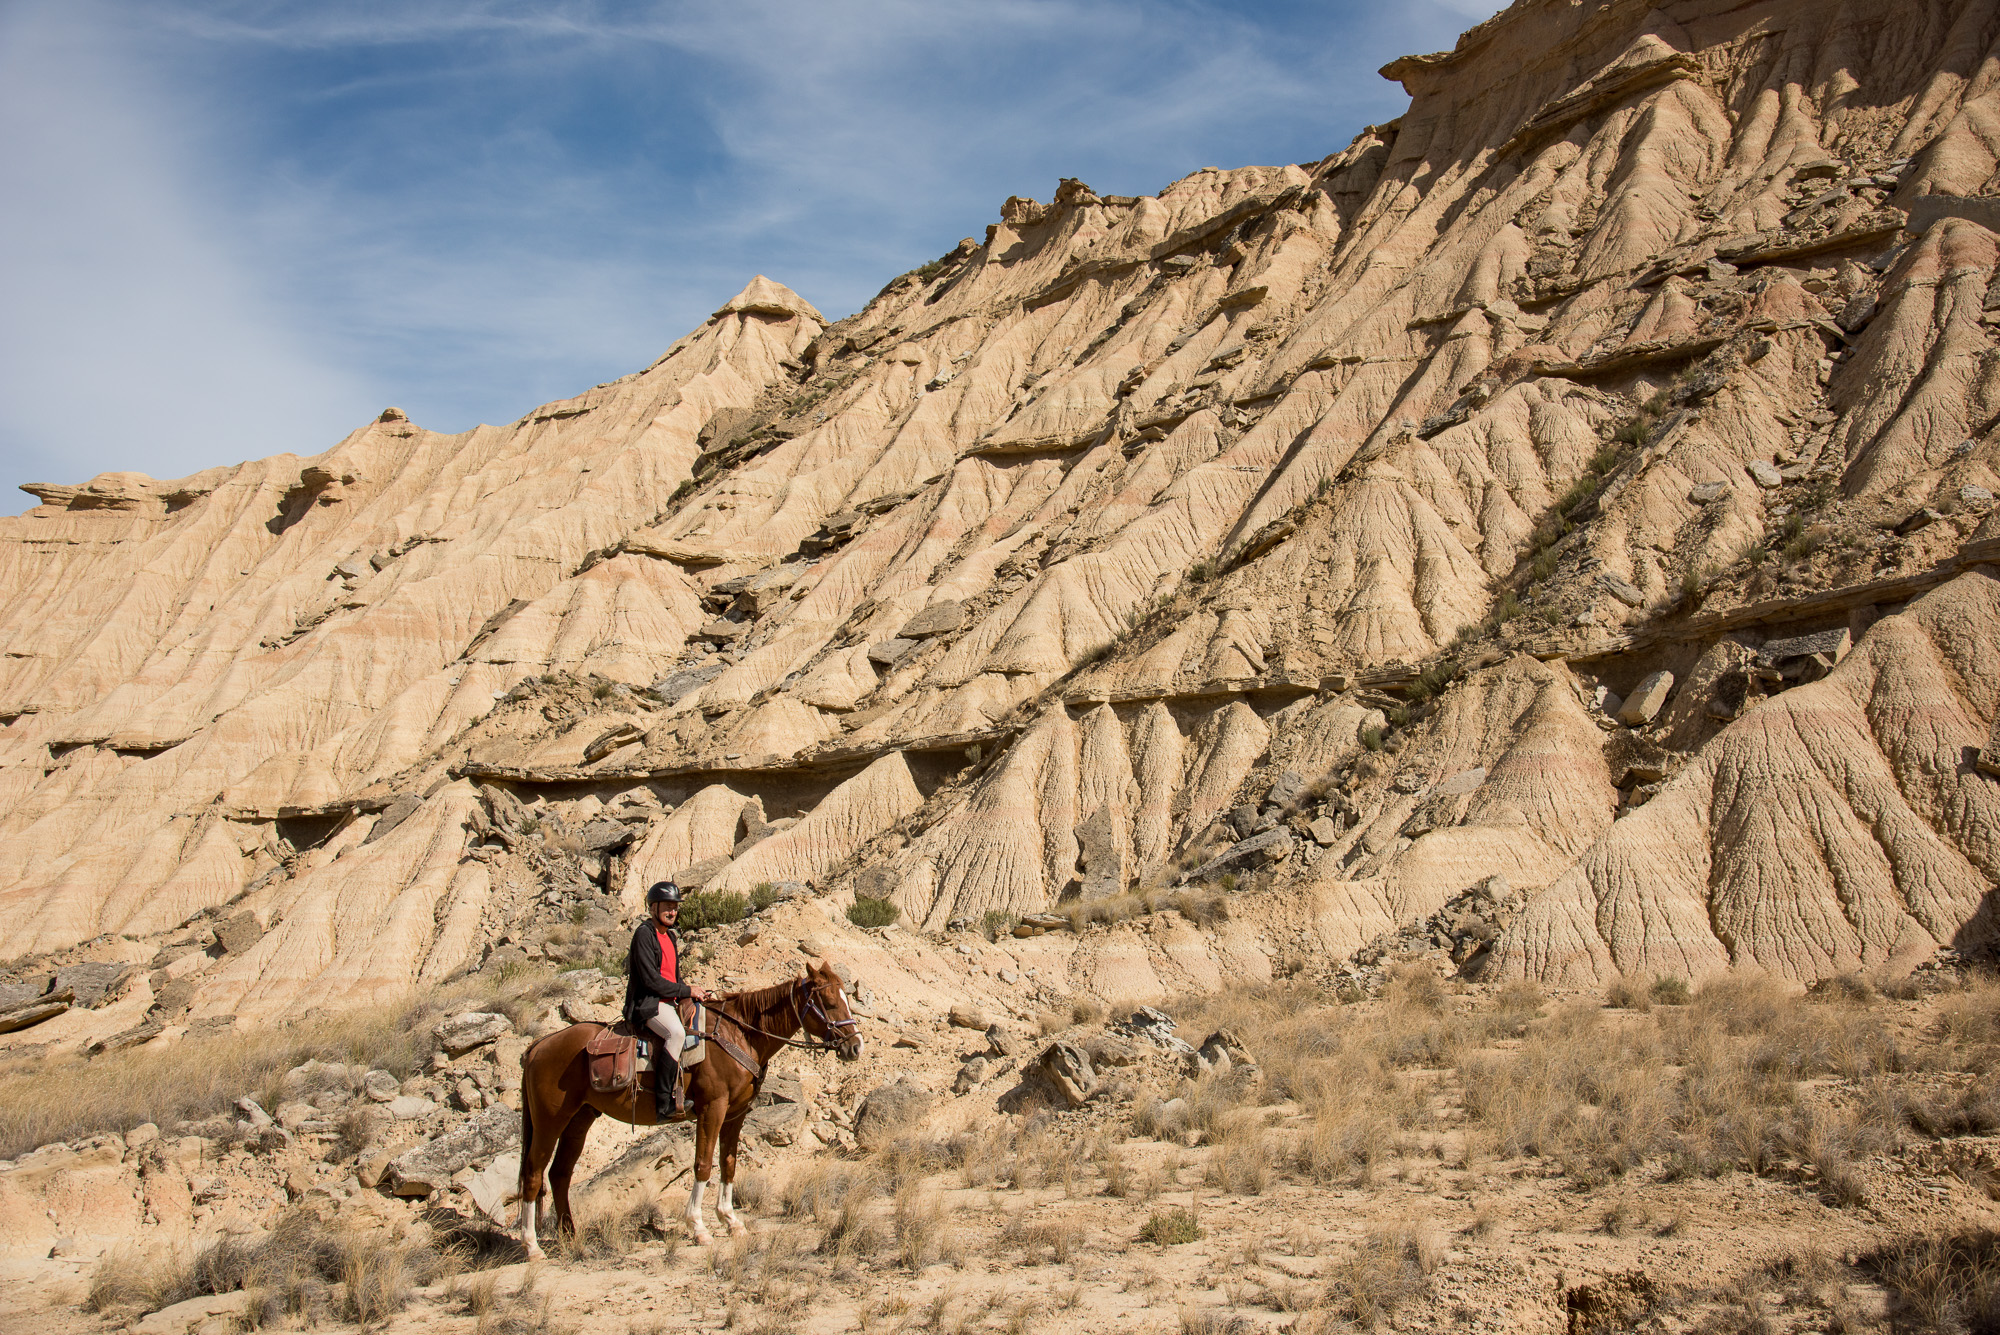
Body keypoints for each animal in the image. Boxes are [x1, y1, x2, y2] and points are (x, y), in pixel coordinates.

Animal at [512, 959, 856, 1255]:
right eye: (828, 1001)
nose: (856, 1046)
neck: (740, 1035)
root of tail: (537, 1046)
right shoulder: (712, 1109)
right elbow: (703, 1165)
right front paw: (698, 1227)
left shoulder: (735, 1114)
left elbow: (729, 1164)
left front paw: (731, 1221)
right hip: (549, 1121)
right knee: (533, 1173)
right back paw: (532, 1246)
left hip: (579, 1119)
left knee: (559, 1173)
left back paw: (569, 1235)